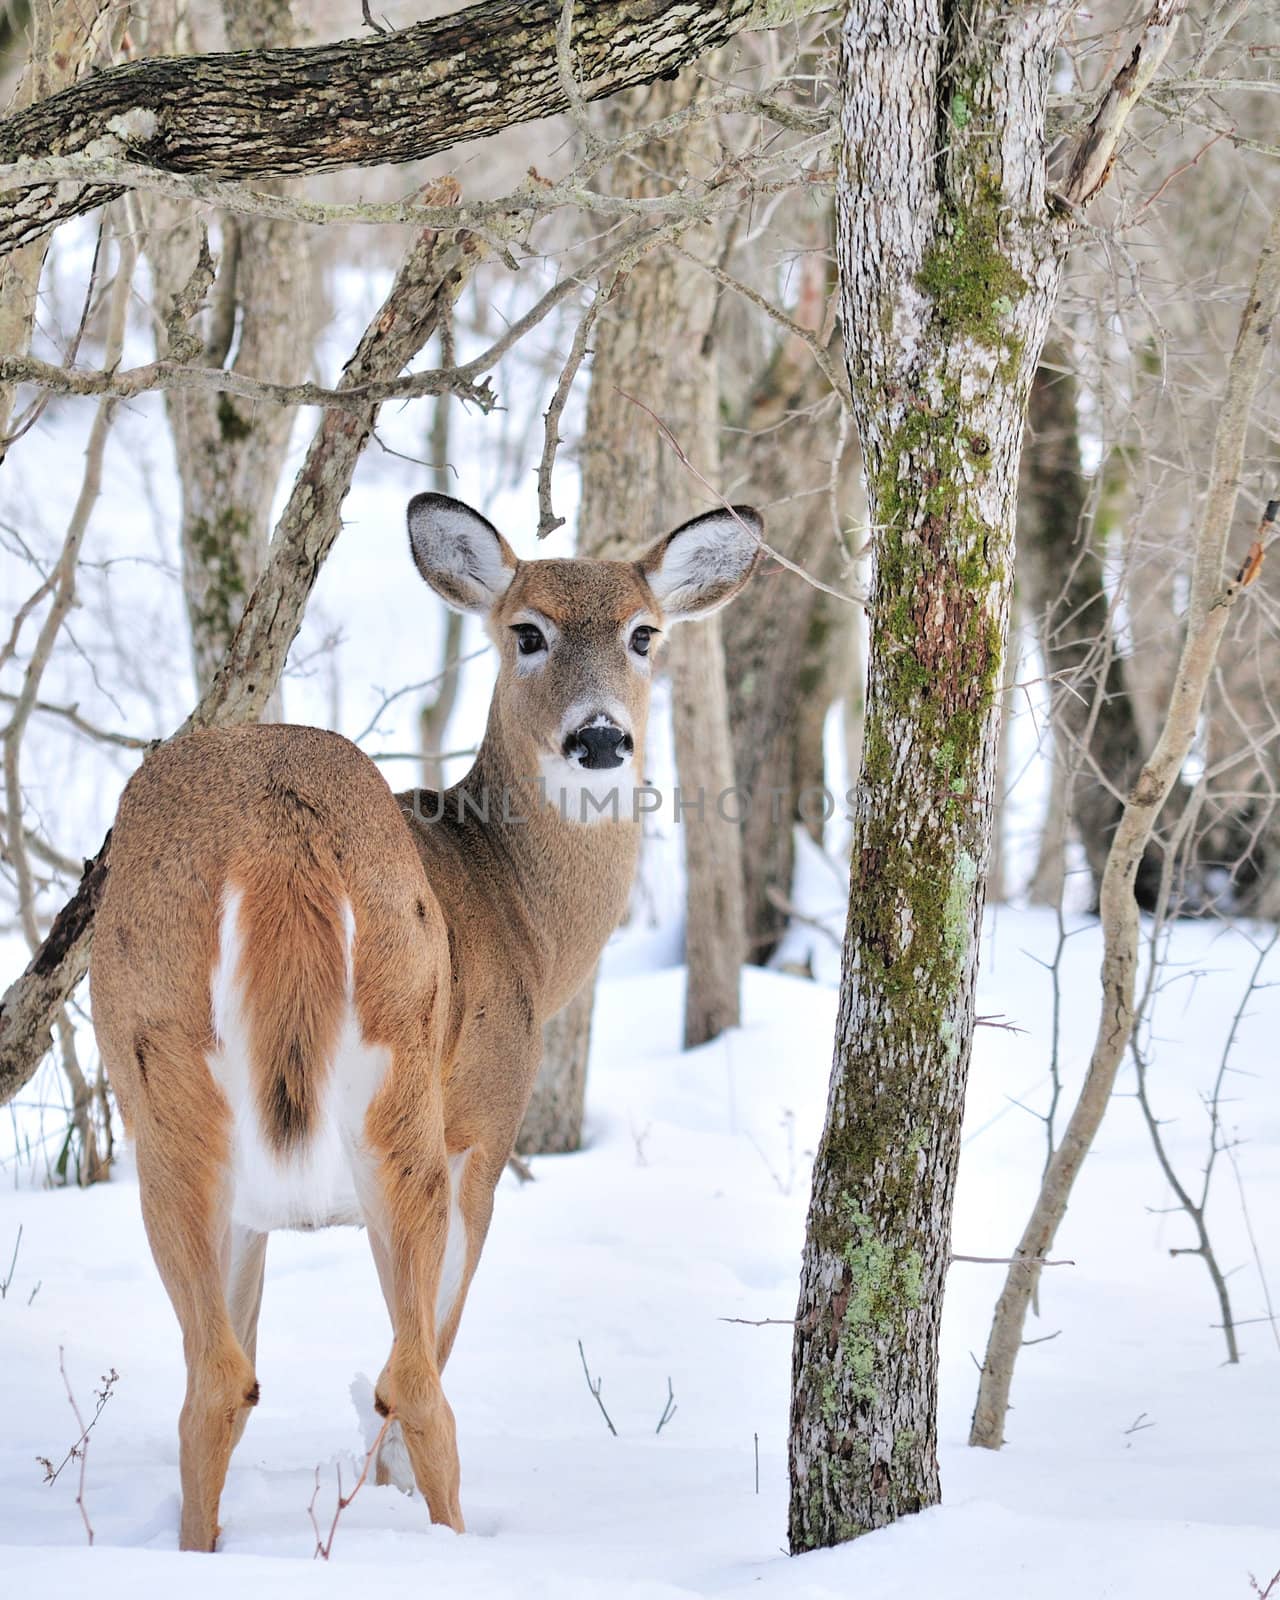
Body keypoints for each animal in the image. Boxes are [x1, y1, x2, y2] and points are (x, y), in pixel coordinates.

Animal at [92, 489, 761, 1548]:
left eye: (643, 633)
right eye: (526, 632)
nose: (600, 738)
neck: (518, 916)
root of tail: (280, 837)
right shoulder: (482, 1129)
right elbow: (429, 1349)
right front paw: (397, 1489)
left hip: (156, 1072)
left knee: (218, 1380)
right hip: (400, 1090)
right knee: (411, 1377)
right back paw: (454, 1542)